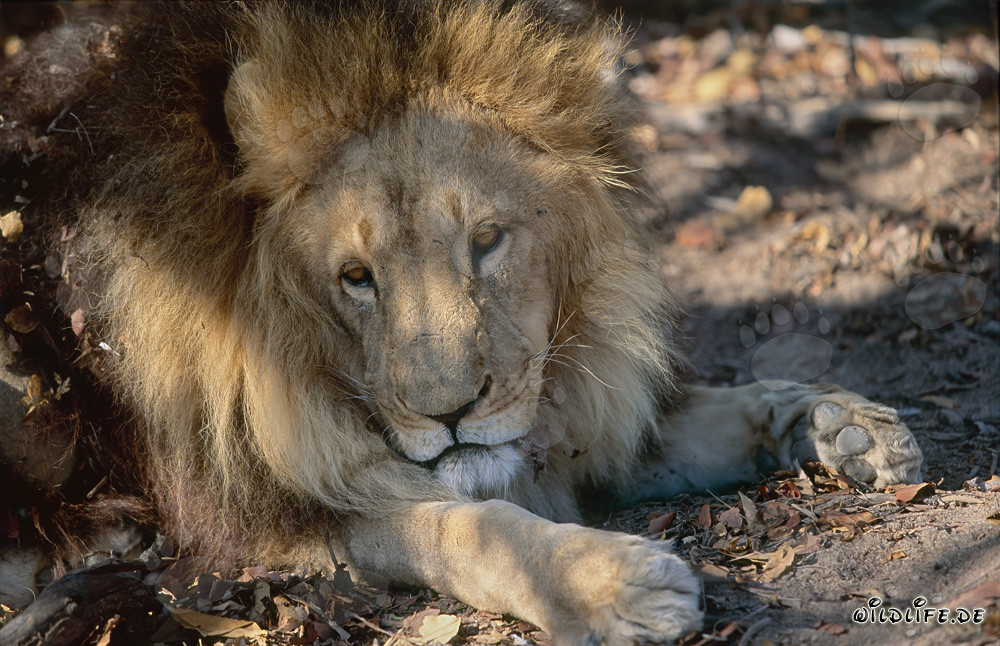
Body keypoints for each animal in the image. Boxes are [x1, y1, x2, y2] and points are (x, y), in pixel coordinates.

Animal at [1, 1, 923, 643]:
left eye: (486, 241)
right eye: (356, 277)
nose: (451, 414)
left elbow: (704, 416)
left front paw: (840, 426)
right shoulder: (283, 513)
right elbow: (470, 527)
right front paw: (612, 586)